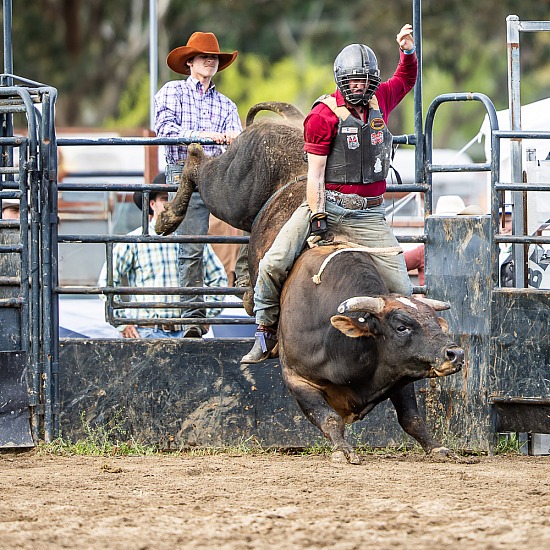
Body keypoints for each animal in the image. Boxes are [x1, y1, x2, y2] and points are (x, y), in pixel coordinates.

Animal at [156, 101, 466, 464]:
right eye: (401, 326)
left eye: (436, 321)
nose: (454, 353)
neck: (339, 338)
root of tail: (290, 120)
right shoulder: (297, 378)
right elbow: (329, 418)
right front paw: (344, 450)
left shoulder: (400, 373)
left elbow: (411, 417)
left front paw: (437, 447)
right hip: (231, 190)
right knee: (198, 164)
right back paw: (169, 217)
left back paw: (246, 286)